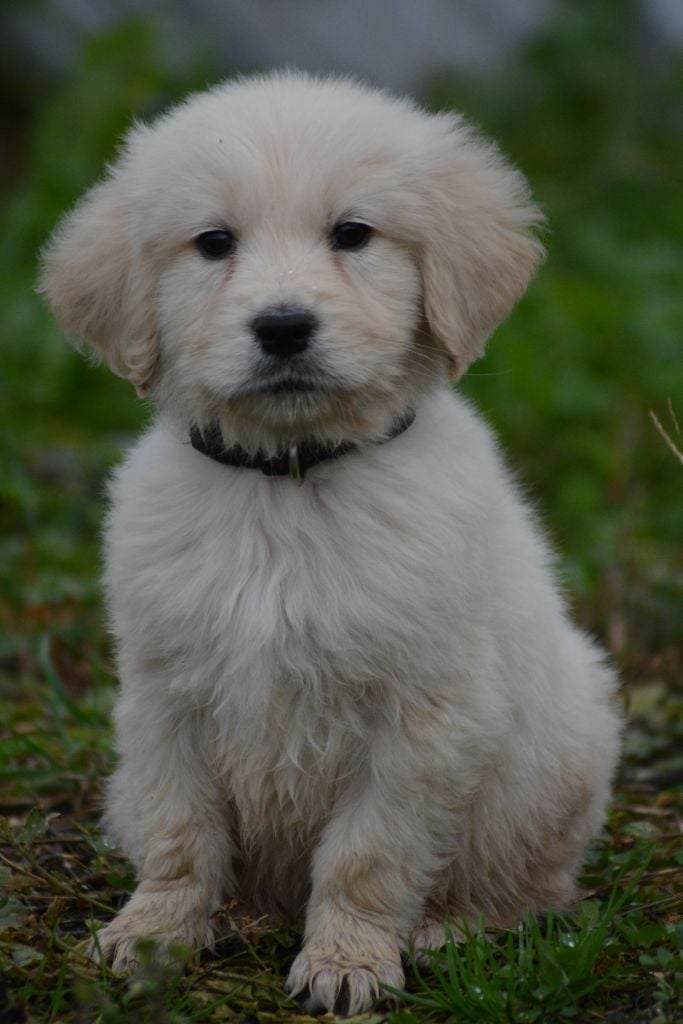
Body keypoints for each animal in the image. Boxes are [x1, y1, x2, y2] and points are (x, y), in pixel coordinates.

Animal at [40, 74, 622, 1015]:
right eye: (214, 243)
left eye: (351, 234)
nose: (283, 327)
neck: (288, 479)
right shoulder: (164, 697)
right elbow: (179, 832)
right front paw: (153, 932)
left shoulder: (421, 717)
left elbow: (367, 852)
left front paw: (347, 961)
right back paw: (239, 916)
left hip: (559, 760)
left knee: (531, 891)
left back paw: (449, 930)